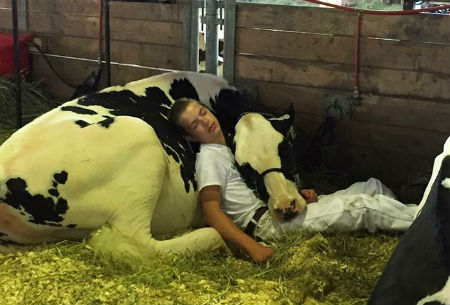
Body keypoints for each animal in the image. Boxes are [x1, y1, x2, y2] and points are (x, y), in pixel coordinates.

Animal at [0, 72, 306, 264]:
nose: (286, 205)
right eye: (244, 168)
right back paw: (211, 238)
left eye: (287, 150)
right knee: (138, 243)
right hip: (142, 142)